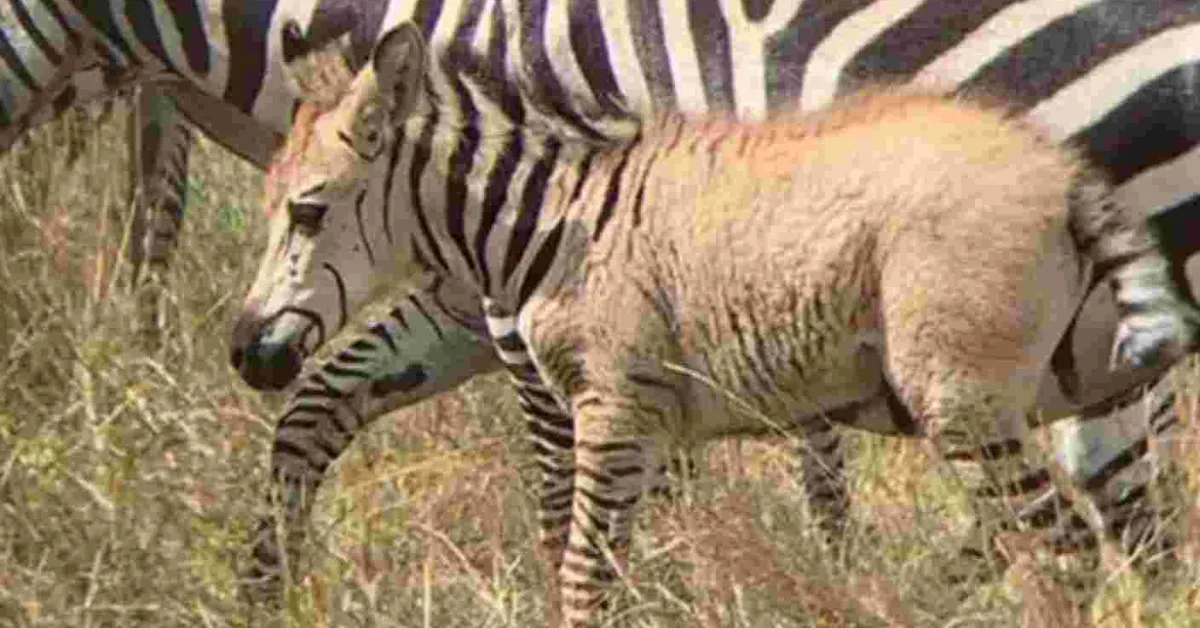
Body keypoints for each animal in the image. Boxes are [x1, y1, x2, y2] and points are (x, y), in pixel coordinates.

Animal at [3, 0, 1193, 592]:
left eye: (304, 211)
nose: (242, 352)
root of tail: (1070, 183)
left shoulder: (569, 366)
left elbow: (568, 538)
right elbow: (319, 411)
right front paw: (265, 588)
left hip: (1005, 377)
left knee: (1091, 532)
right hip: (1081, 368)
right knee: (1125, 532)